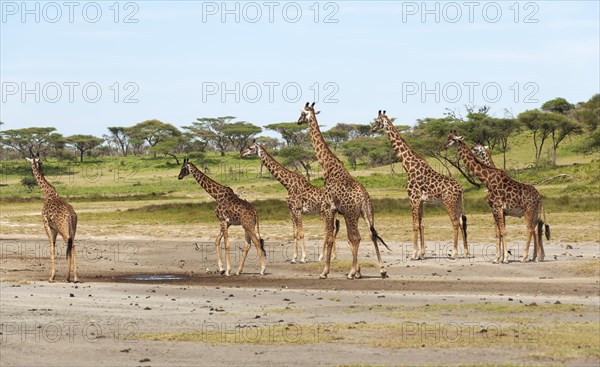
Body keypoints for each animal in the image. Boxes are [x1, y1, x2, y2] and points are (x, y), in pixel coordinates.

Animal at [296, 100, 390, 278]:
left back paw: (351, 273)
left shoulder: (329, 208)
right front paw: (359, 271)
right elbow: (342, 237)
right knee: (371, 235)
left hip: (352, 214)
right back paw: (380, 270)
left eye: (302, 113)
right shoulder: (339, 211)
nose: (297, 122)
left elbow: (330, 237)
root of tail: (364, 197)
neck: (327, 167)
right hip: (366, 213)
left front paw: (325, 271)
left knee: (357, 237)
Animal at [370, 110, 468, 260]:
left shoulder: (413, 198)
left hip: (448, 201)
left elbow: (415, 224)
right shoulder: (421, 201)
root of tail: (460, 188)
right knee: (462, 221)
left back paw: (454, 253)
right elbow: (422, 224)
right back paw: (466, 252)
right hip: (457, 202)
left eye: (377, 121)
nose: (372, 129)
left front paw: (413, 254)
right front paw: (422, 254)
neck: (408, 166)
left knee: (455, 222)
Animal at [440, 132, 548, 264]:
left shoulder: (497, 207)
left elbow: (503, 231)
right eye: (448, 137)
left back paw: (525, 257)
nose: (443, 146)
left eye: (452, 139)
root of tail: (539, 196)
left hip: (529, 211)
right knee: (536, 229)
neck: (487, 180)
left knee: (530, 229)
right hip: (535, 212)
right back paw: (537, 257)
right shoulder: (496, 210)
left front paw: (505, 258)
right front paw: (497, 258)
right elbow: (498, 233)